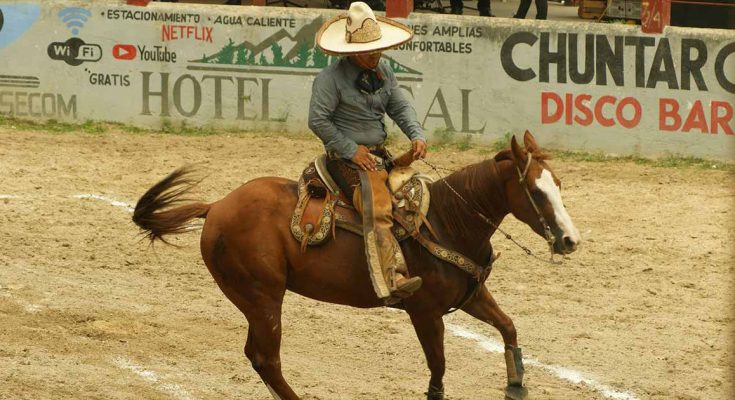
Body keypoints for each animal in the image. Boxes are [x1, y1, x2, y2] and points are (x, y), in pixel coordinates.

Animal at [132, 131, 580, 400]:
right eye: (536, 192)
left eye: (558, 184)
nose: (570, 240)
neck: (447, 222)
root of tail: (216, 206)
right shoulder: (425, 312)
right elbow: (438, 367)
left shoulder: (472, 295)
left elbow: (508, 327)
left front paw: (516, 385)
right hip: (262, 298)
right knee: (267, 359)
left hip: (255, 301)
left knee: (255, 355)